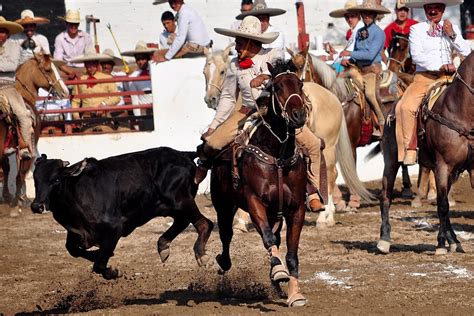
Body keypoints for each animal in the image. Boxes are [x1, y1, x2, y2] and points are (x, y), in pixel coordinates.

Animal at [1, 52, 68, 209]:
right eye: (48, 69)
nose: (65, 91)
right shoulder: (28, 148)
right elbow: (20, 174)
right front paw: (19, 200)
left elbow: (7, 170)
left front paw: (7, 197)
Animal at [31, 148, 213, 278]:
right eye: (35, 180)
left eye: (56, 179)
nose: (37, 206)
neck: (75, 192)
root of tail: (184, 155)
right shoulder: (77, 232)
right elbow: (73, 249)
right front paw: (97, 255)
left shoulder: (114, 229)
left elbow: (99, 265)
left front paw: (112, 271)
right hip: (171, 206)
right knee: (183, 221)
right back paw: (163, 246)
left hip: (180, 201)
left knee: (205, 223)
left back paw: (200, 254)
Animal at [210, 61, 308, 306]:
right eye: (277, 87)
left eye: (300, 84)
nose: (298, 114)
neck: (278, 155)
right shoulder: (255, 203)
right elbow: (267, 237)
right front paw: (279, 272)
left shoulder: (296, 208)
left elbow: (291, 254)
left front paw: (294, 293)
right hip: (223, 206)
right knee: (226, 235)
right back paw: (224, 262)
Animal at [376, 51, 472, 254]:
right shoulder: (443, 166)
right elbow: (442, 205)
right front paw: (440, 244)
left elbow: (444, 204)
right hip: (391, 161)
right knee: (385, 195)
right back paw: (384, 240)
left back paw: (455, 241)